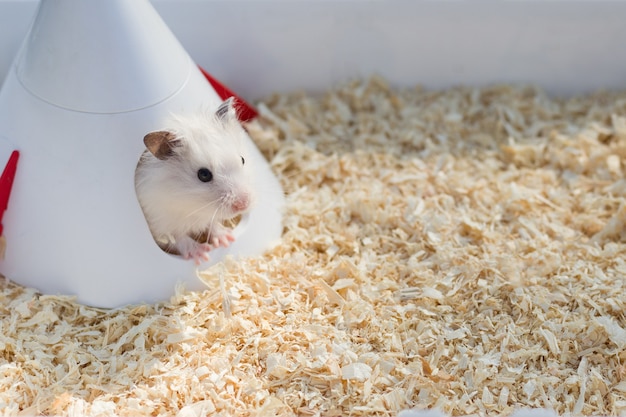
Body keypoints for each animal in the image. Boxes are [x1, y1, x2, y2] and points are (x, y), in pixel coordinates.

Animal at [135, 97, 254, 264]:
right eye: (203, 175)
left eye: (242, 159)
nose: (244, 204)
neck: (193, 205)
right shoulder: (158, 221)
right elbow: (179, 238)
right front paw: (202, 254)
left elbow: (212, 223)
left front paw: (226, 238)